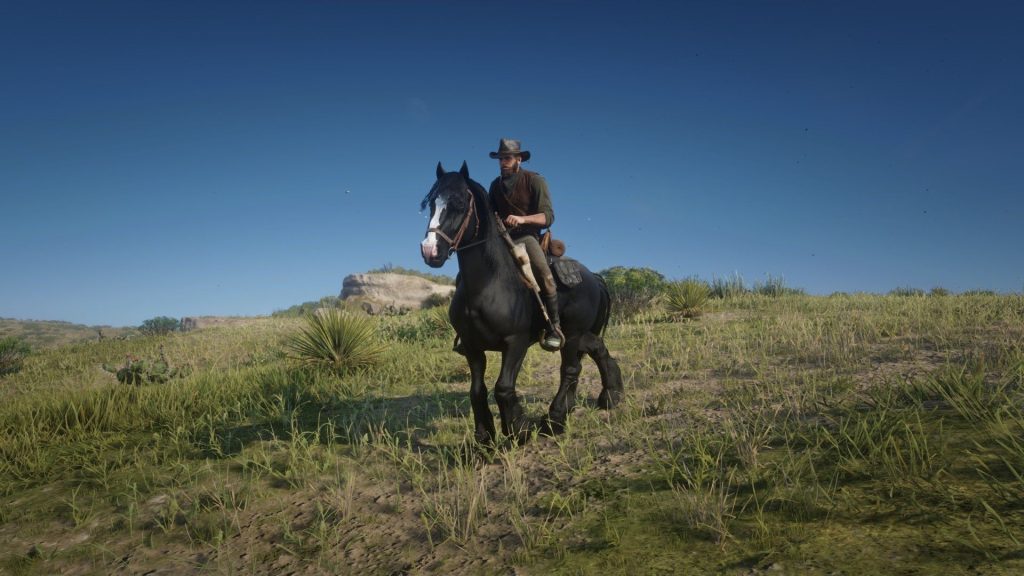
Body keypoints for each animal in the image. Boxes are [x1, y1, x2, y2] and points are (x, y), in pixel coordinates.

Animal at [417, 162, 622, 444]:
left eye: (458, 203)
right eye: (431, 204)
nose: (430, 251)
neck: (489, 283)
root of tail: (594, 278)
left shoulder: (516, 343)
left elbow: (503, 387)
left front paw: (519, 428)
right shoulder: (471, 347)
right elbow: (477, 390)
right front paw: (484, 436)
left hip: (571, 335)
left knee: (570, 369)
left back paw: (554, 420)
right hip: (582, 335)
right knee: (596, 350)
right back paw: (610, 395)